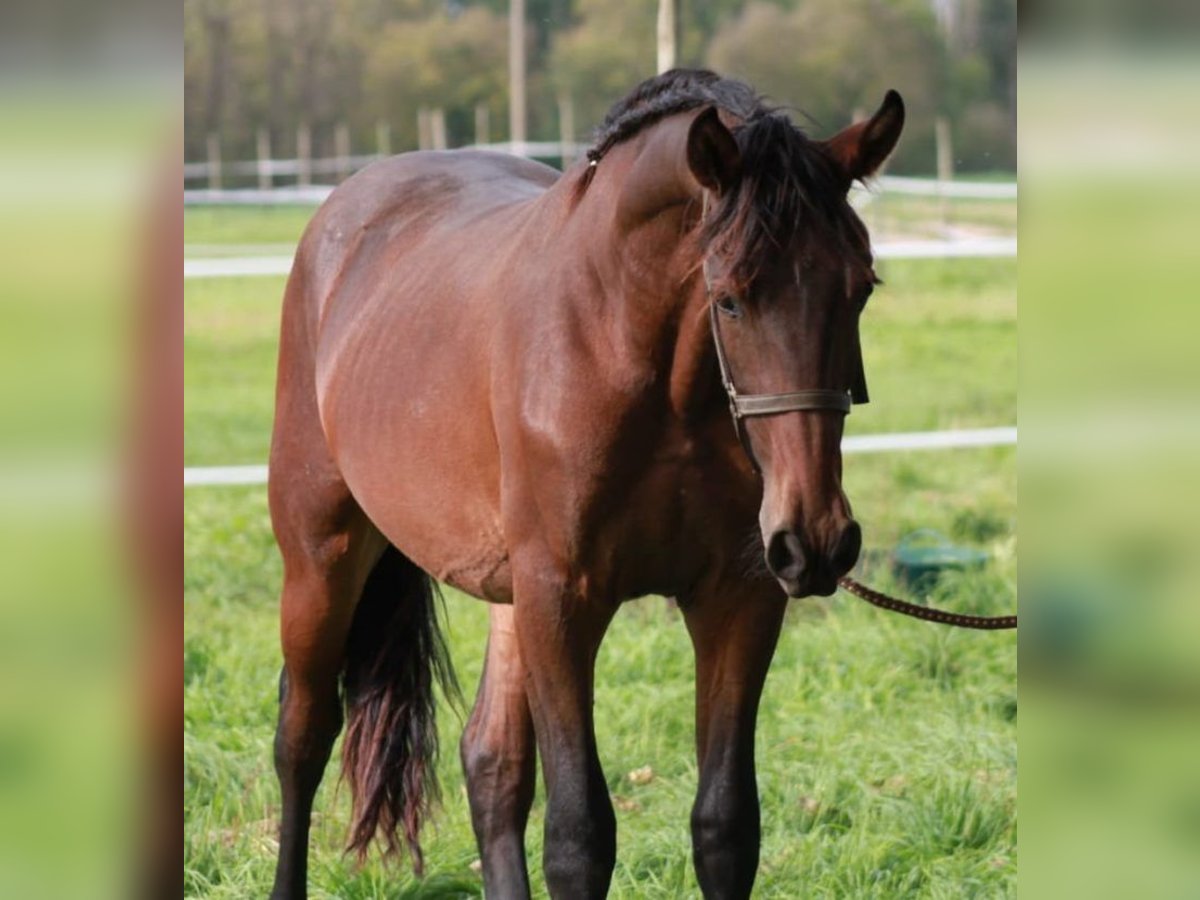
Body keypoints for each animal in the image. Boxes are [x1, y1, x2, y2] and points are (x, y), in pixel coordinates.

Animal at [270, 66, 902, 897]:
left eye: (861, 288)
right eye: (729, 296)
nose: (818, 539)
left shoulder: (738, 598)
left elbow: (726, 825)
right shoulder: (564, 601)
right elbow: (579, 837)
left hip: (508, 597)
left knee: (492, 762)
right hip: (322, 559)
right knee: (302, 737)